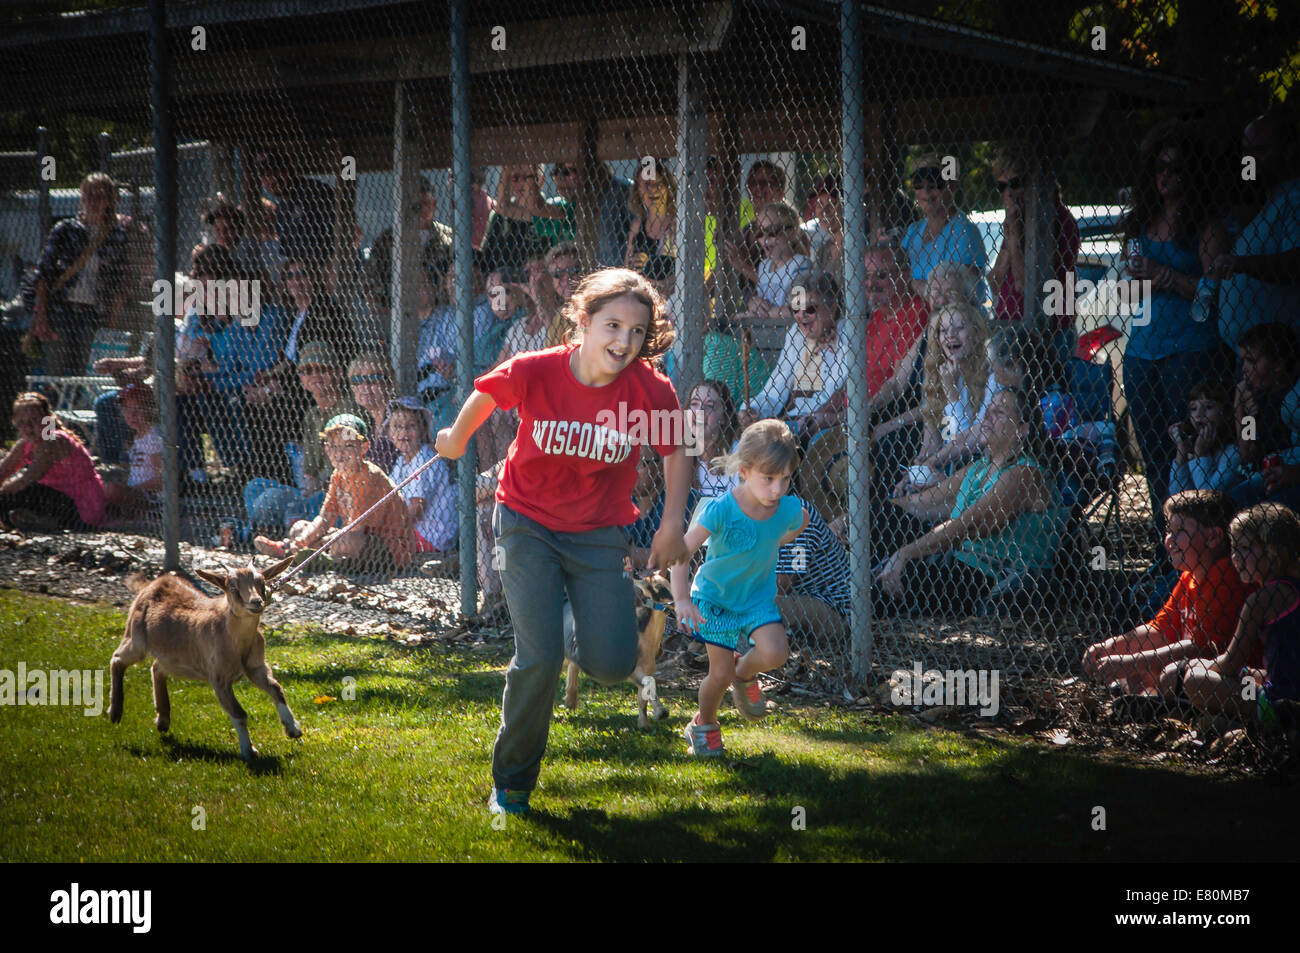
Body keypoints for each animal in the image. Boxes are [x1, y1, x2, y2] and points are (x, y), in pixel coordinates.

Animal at [108, 556, 299, 759]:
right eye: (233, 587)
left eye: (261, 583)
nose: (256, 602)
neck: (235, 641)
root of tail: (152, 585)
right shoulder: (219, 679)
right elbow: (239, 713)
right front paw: (249, 751)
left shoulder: (256, 667)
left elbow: (276, 688)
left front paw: (293, 728)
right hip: (136, 638)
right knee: (117, 658)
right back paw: (115, 712)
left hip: (175, 658)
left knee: (156, 668)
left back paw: (163, 720)